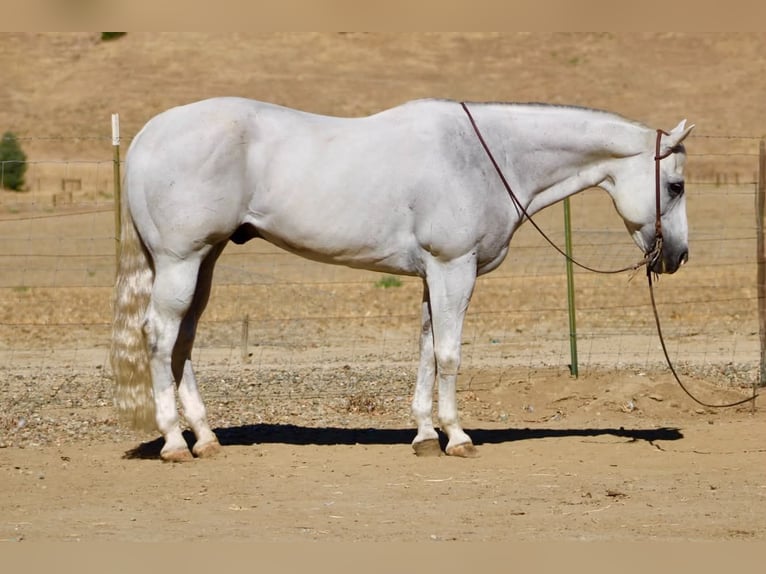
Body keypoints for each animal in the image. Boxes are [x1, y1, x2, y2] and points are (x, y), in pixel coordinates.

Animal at [110, 97, 693, 462]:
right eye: (676, 185)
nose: (679, 256)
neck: (487, 156)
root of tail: (147, 136)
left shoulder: (434, 273)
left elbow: (427, 349)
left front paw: (424, 434)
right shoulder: (454, 266)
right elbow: (450, 354)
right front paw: (456, 436)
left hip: (203, 260)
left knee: (184, 340)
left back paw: (206, 437)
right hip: (181, 260)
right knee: (160, 336)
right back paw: (175, 443)